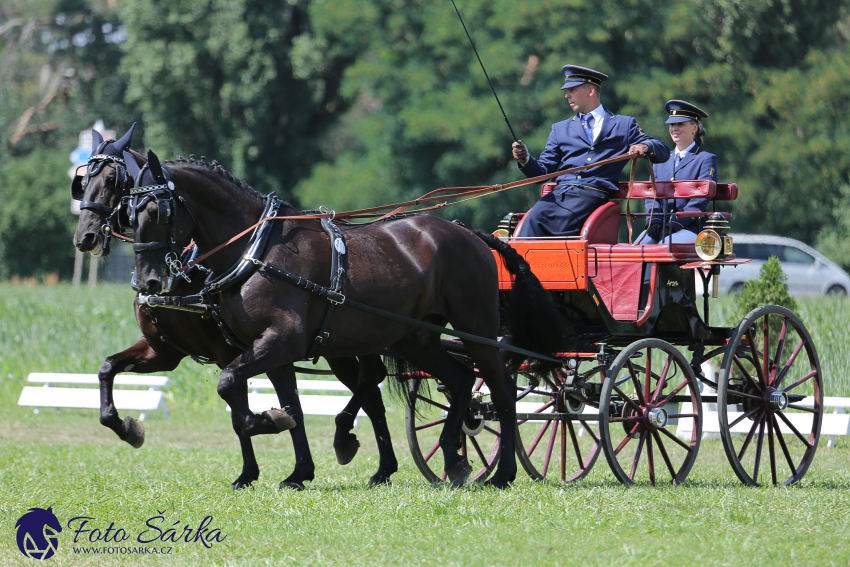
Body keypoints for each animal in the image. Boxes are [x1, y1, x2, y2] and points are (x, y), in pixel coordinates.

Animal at [70, 127, 398, 488]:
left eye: (113, 180)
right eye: (83, 181)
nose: (84, 237)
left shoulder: (231, 351)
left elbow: (240, 411)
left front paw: (252, 465)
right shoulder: (165, 351)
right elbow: (107, 368)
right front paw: (127, 428)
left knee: (371, 387)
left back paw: (361, 450)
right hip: (340, 346)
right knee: (372, 392)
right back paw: (378, 465)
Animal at [121, 149, 564, 486]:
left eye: (158, 211)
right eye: (129, 212)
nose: (148, 281)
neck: (257, 249)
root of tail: (471, 234)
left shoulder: (281, 340)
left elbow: (231, 386)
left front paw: (269, 422)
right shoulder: (265, 349)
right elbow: (282, 403)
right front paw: (294, 462)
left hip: (476, 328)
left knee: (501, 389)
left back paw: (502, 472)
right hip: (415, 338)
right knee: (460, 380)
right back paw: (454, 460)